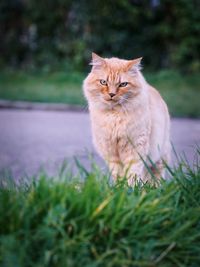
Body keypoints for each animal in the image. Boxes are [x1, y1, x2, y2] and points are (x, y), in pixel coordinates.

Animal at [83, 52, 170, 186]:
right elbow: (118, 175)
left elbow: (133, 174)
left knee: (155, 176)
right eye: (103, 82)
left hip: (159, 157)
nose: (111, 94)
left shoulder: (135, 149)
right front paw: (119, 188)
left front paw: (131, 188)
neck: (114, 116)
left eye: (123, 84)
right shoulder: (112, 154)